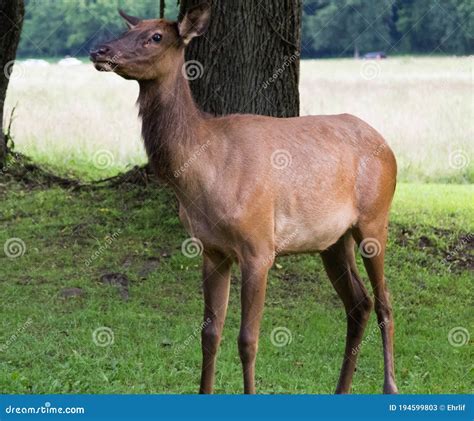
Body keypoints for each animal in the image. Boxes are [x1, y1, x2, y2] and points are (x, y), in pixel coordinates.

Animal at [90, 3, 398, 392]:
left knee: (385, 303)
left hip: (375, 219)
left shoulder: (259, 247)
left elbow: (247, 340)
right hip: (332, 240)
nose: (99, 51)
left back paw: (390, 386)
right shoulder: (211, 249)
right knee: (360, 303)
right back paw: (341, 390)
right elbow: (210, 334)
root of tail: (389, 147)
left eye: (156, 36)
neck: (201, 174)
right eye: (129, 29)